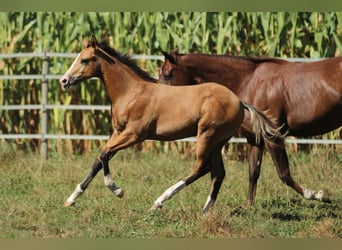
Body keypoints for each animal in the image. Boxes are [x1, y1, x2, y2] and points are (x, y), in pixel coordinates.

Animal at [159, 48, 340, 205]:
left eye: (167, 74)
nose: (161, 100)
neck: (250, 81)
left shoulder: (272, 136)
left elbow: (284, 174)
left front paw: (318, 195)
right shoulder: (254, 138)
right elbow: (253, 171)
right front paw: (249, 205)